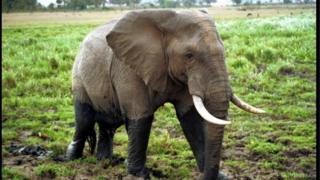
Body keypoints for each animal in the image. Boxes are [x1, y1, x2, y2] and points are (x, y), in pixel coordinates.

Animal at [65, 9, 264, 179]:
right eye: (189, 55)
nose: (207, 176)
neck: (166, 20)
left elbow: (190, 118)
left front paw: (221, 177)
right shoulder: (128, 69)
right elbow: (141, 117)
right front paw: (139, 175)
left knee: (107, 125)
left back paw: (106, 161)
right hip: (78, 77)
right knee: (84, 120)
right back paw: (71, 160)